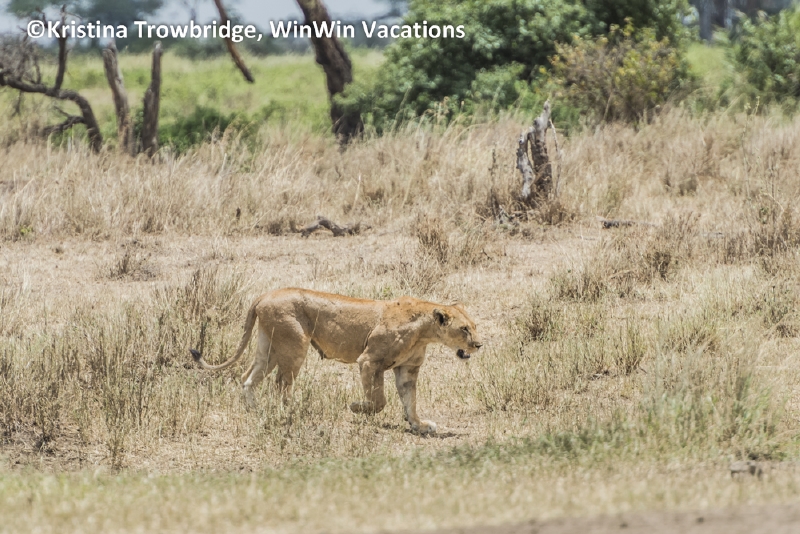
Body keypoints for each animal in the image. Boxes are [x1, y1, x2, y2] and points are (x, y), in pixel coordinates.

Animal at [189, 288, 482, 434]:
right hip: (294, 345)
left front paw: (419, 425)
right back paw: (290, 413)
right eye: (464, 329)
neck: (425, 332)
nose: (478, 345)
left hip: (268, 347)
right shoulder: (369, 360)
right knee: (281, 383)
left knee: (248, 378)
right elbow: (379, 401)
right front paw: (356, 407)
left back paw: (257, 411)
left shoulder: (407, 369)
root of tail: (265, 295)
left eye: (474, 326)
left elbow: (410, 401)